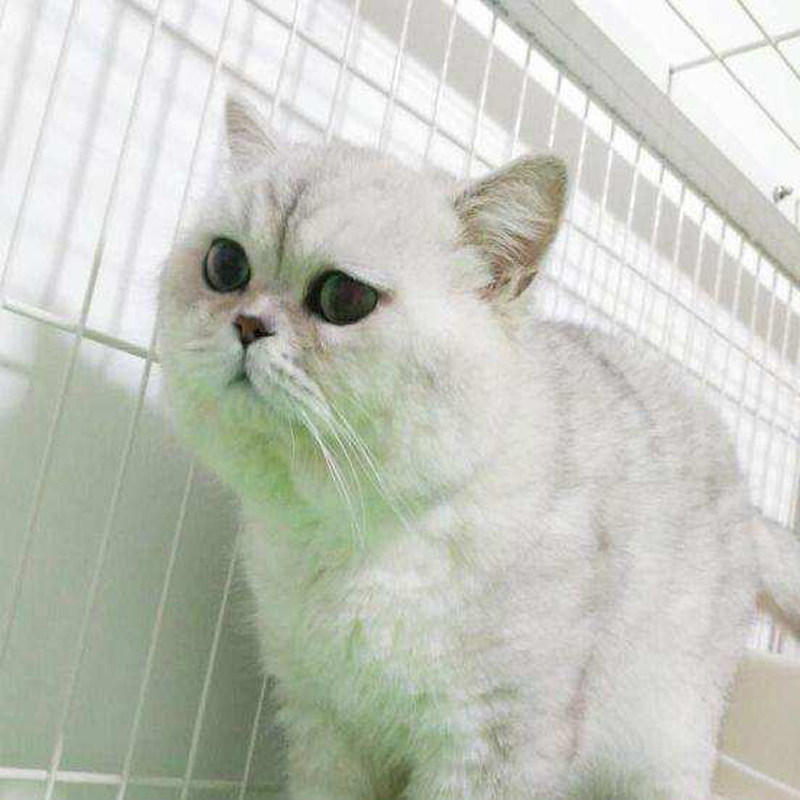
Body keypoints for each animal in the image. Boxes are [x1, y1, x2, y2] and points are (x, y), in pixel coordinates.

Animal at [158, 95, 800, 800]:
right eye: (225, 266)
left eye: (343, 298)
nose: (247, 325)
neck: (354, 531)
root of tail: (749, 505)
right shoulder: (325, 728)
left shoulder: (492, 741)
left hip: (665, 745)